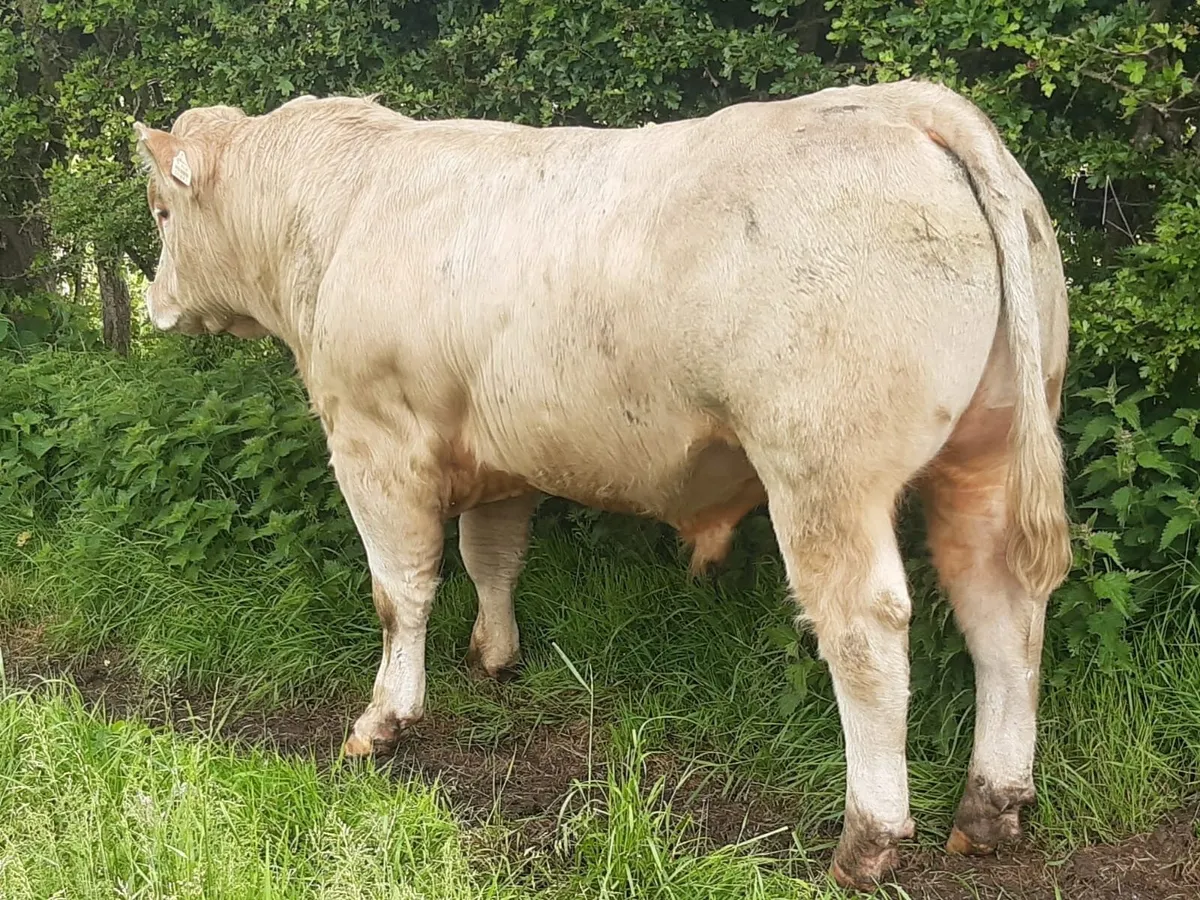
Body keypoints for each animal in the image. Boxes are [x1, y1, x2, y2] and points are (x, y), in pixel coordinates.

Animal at [133, 79, 1071, 890]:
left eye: (161, 211)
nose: (155, 303)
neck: (342, 212)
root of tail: (909, 102)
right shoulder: (498, 457)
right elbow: (492, 559)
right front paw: (494, 657)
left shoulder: (375, 440)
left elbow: (399, 591)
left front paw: (384, 721)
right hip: (987, 457)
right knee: (1002, 609)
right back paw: (991, 807)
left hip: (824, 472)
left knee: (868, 632)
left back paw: (867, 840)